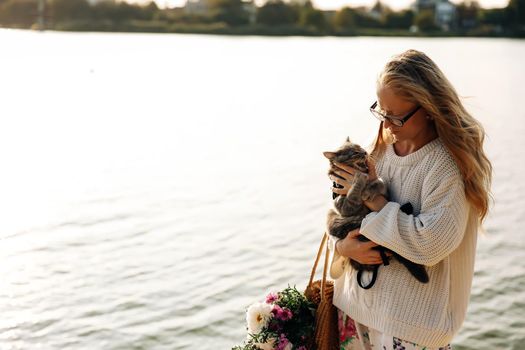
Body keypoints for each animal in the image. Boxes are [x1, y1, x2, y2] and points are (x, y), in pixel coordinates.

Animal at [322, 138, 428, 288]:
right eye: (355, 152)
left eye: (360, 147)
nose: (365, 152)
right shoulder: (346, 206)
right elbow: (354, 192)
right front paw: (360, 180)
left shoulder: (383, 188)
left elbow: (378, 183)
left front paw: (367, 191)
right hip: (334, 219)